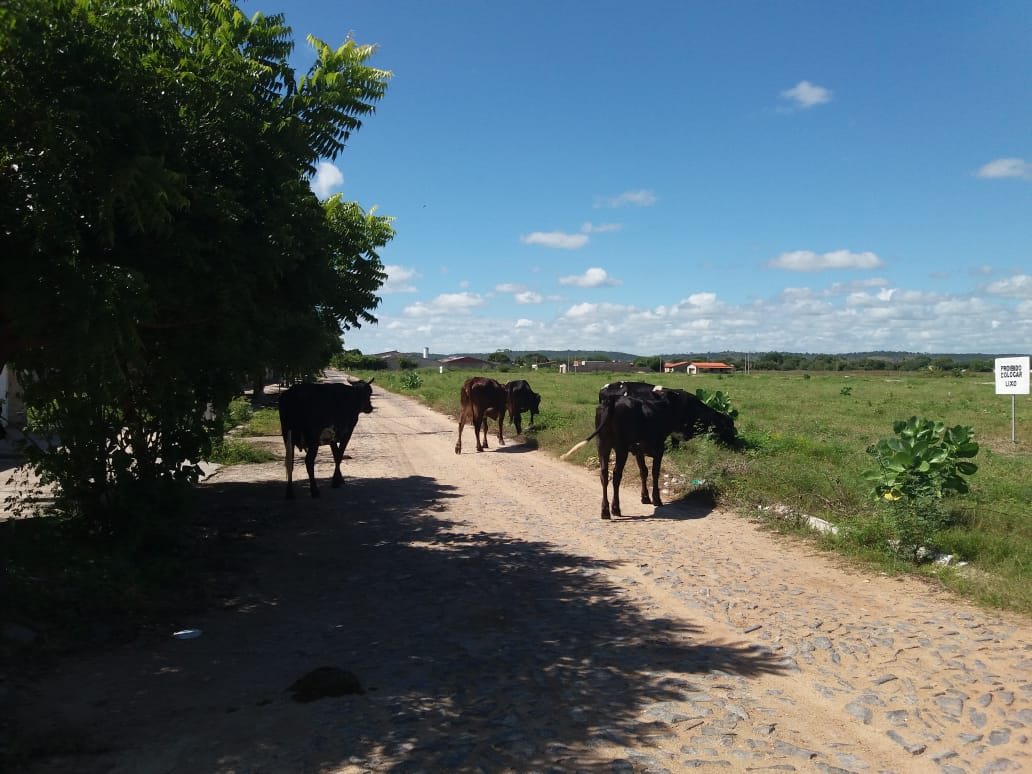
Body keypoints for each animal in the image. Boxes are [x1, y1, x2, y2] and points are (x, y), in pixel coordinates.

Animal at [565, 388, 734, 522]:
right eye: (691, 404)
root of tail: (613, 399)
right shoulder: (659, 449)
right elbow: (654, 472)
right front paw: (656, 499)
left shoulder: (638, 450)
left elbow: (643, 472)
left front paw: (645, 497)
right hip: (621, 448)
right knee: (617, 475)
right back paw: (615, 508)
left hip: (602, 445)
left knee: (604, 474)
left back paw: (605, 510)